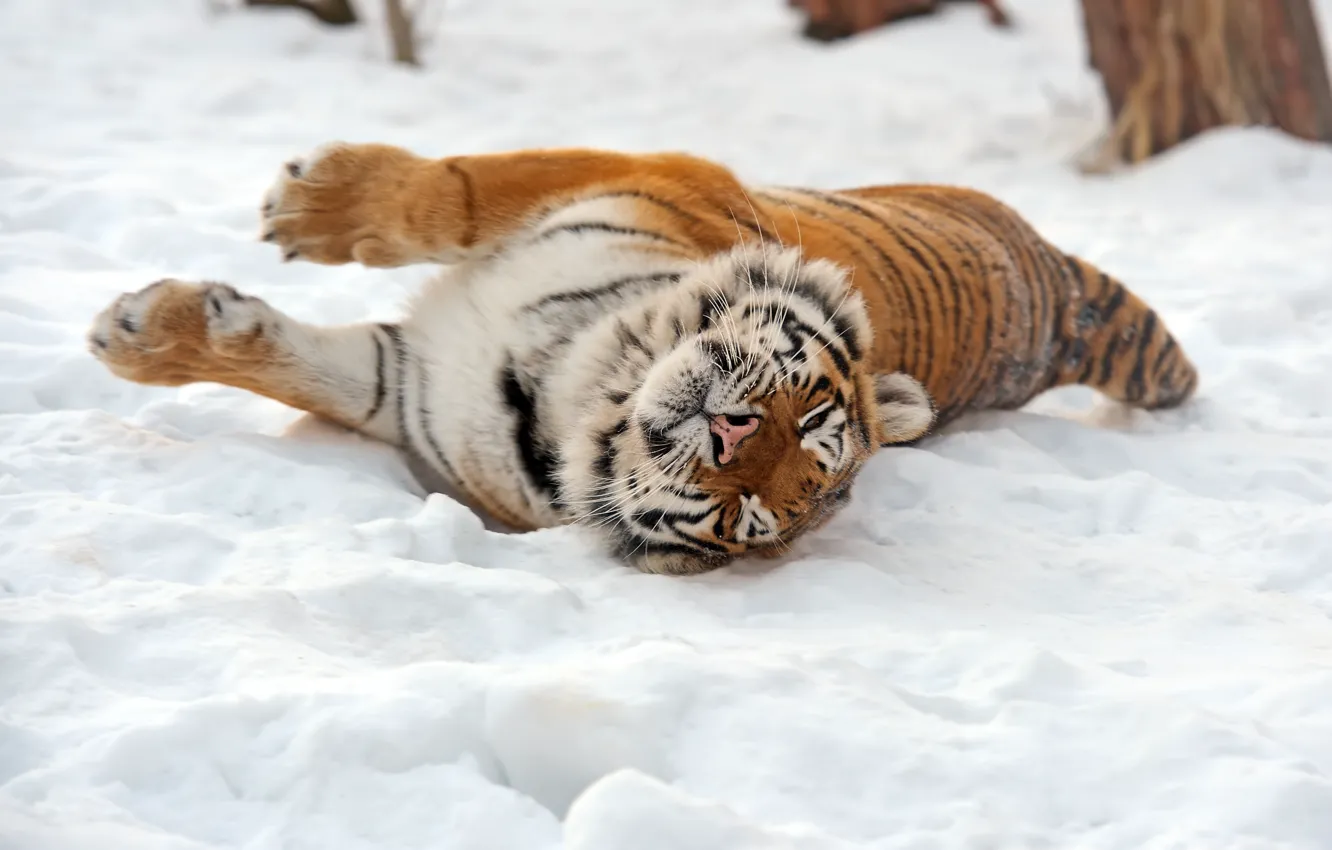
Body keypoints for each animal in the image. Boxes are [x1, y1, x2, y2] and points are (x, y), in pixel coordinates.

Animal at [87, 143, 1198, 576]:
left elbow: (306, 366)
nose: (728, 434)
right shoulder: (635, 172)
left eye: (750, 514)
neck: (571, 382)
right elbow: (448, 195)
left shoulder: (404, 389)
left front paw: (137, 330)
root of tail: (1055, 285)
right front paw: (308, 205)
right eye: (812, 415)